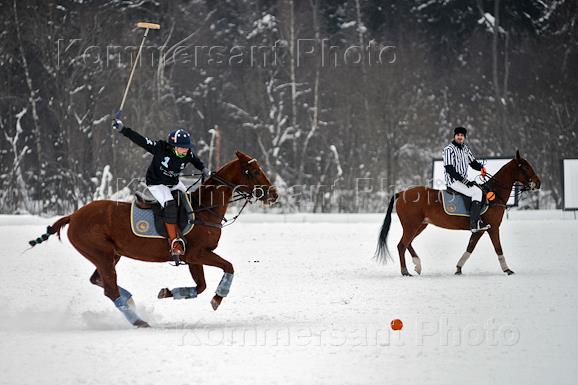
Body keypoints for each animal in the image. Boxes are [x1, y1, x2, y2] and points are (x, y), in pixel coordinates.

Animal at [29, 152, 276, 326]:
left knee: (99, 281)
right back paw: (139, 321)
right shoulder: (198, 253)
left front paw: (168, 292)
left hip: (110, 255)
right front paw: (217, 298)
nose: (274, 194)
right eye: (254, 171)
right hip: (101, 254)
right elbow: (229, 267)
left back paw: (130, 300)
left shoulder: (192, 258)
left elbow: (201, 286)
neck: (204, 208)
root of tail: (73, 215)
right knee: (109, 289)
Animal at [374, 150, 540, 276]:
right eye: (525, 167)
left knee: (408, 243)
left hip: (420, 225)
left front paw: (458, 268)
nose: (538, 183)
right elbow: (498, 248)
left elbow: (470, 248)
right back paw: (405, 271)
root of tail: (401, 193)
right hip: (411, 225)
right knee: (402, 245)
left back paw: (417, 265)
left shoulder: (480, 230)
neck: (495, 194)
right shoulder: (493, 228)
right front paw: (507, 270)